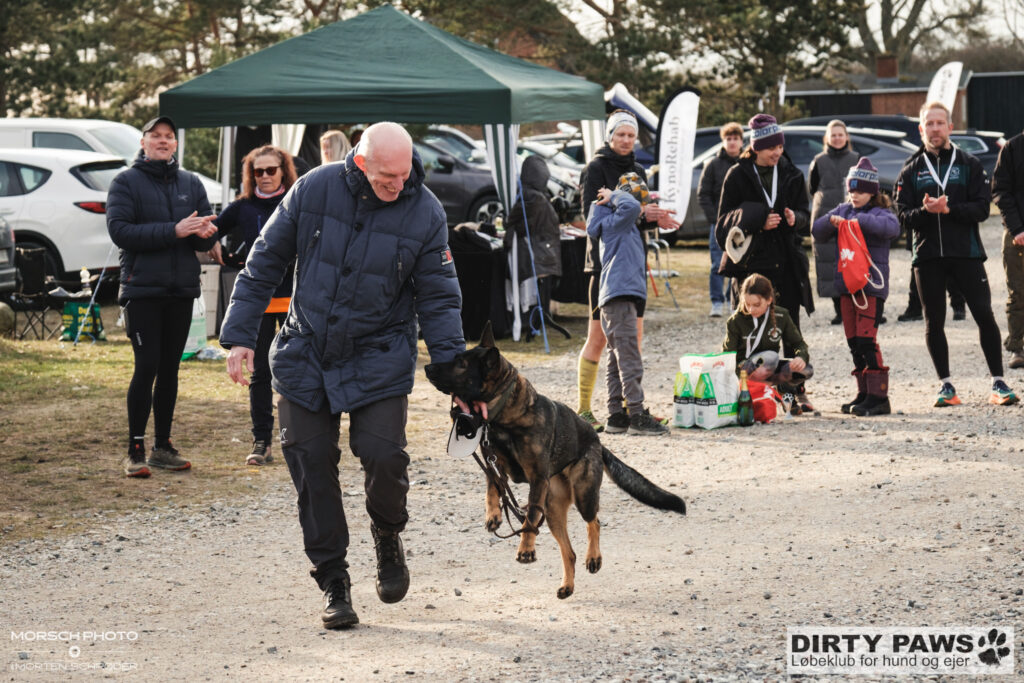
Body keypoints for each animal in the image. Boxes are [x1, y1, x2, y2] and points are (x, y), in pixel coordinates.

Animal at [423, 323, 688, 593]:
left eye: (460, 363)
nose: (426, 367)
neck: (507, 414)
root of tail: (596, 440)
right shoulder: (494, 465)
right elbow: (492, 491)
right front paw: (493, 516)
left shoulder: (537, 479)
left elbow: (529, 519)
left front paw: (526, 549)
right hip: (552, 511)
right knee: (569, 552)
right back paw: (568, 586)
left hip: (583, 496)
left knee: (594, 523)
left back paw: (593, 558)